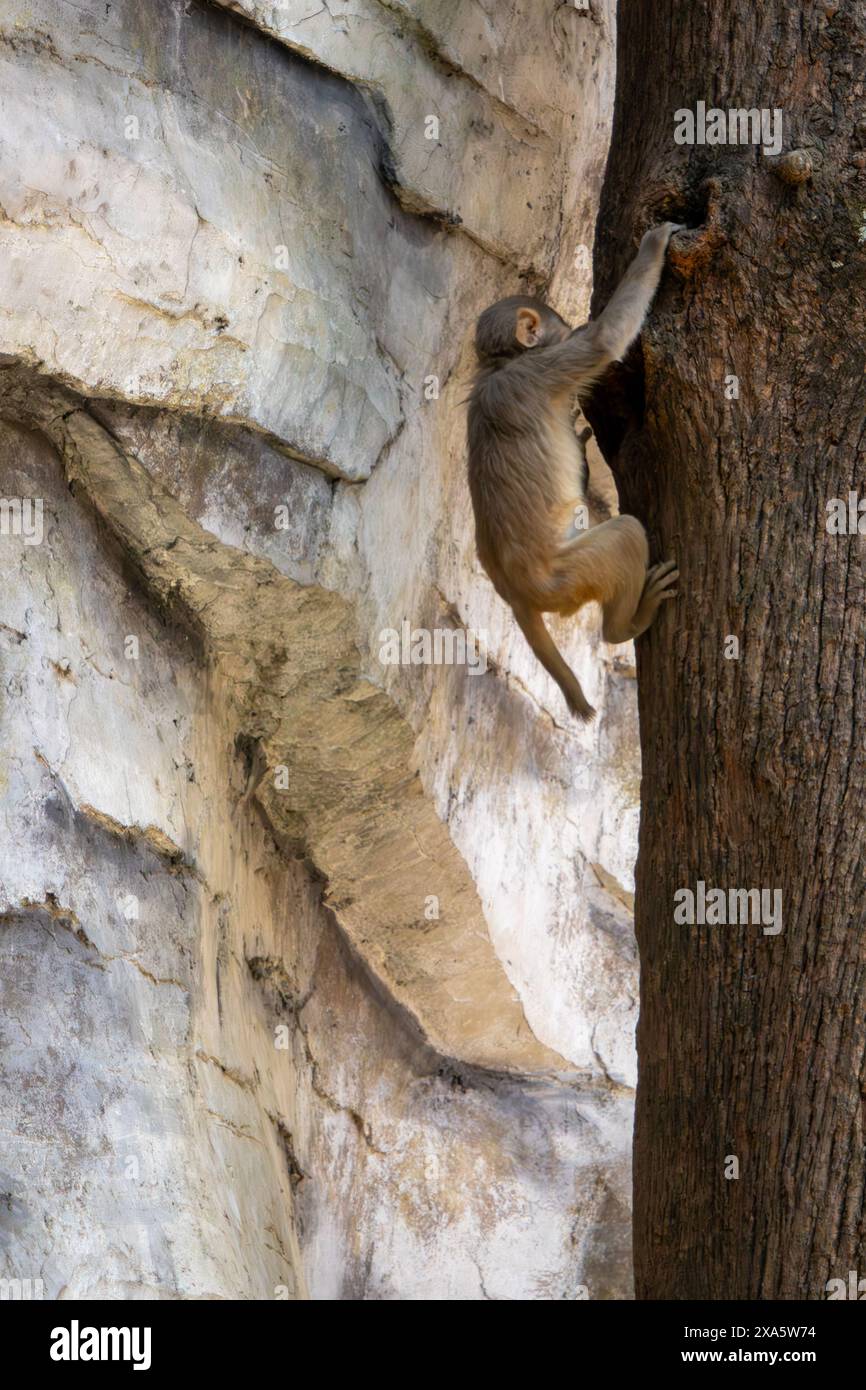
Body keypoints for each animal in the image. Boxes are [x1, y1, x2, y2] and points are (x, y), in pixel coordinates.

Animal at [466, 221, 683, 721]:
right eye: (562, 329)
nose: (570, 325)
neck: (501, 365)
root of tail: (517, 593)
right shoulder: (543, 370)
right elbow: (603, 340)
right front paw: (654, 247)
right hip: (567, 577)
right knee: (625, 535)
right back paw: (626, 625)